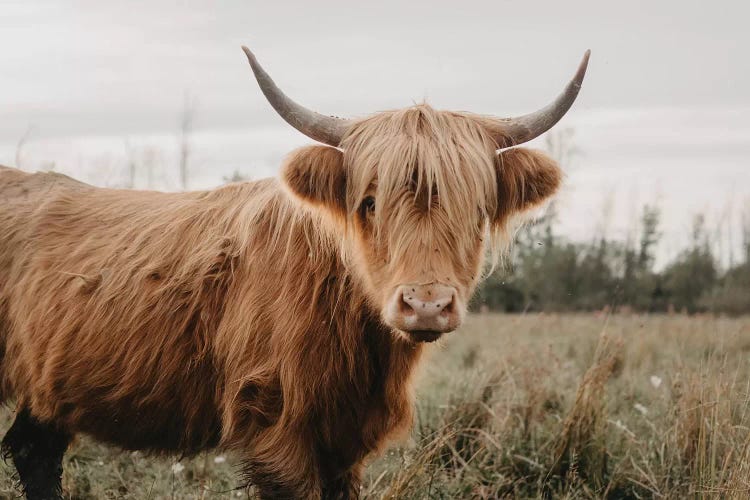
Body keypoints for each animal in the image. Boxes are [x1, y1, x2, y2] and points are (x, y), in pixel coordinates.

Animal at [0, 46, 588, 496]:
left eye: (479, 211)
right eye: (368, 203)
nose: (426, 304)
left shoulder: (346, 441)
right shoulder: (273, 423)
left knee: (34, 451)